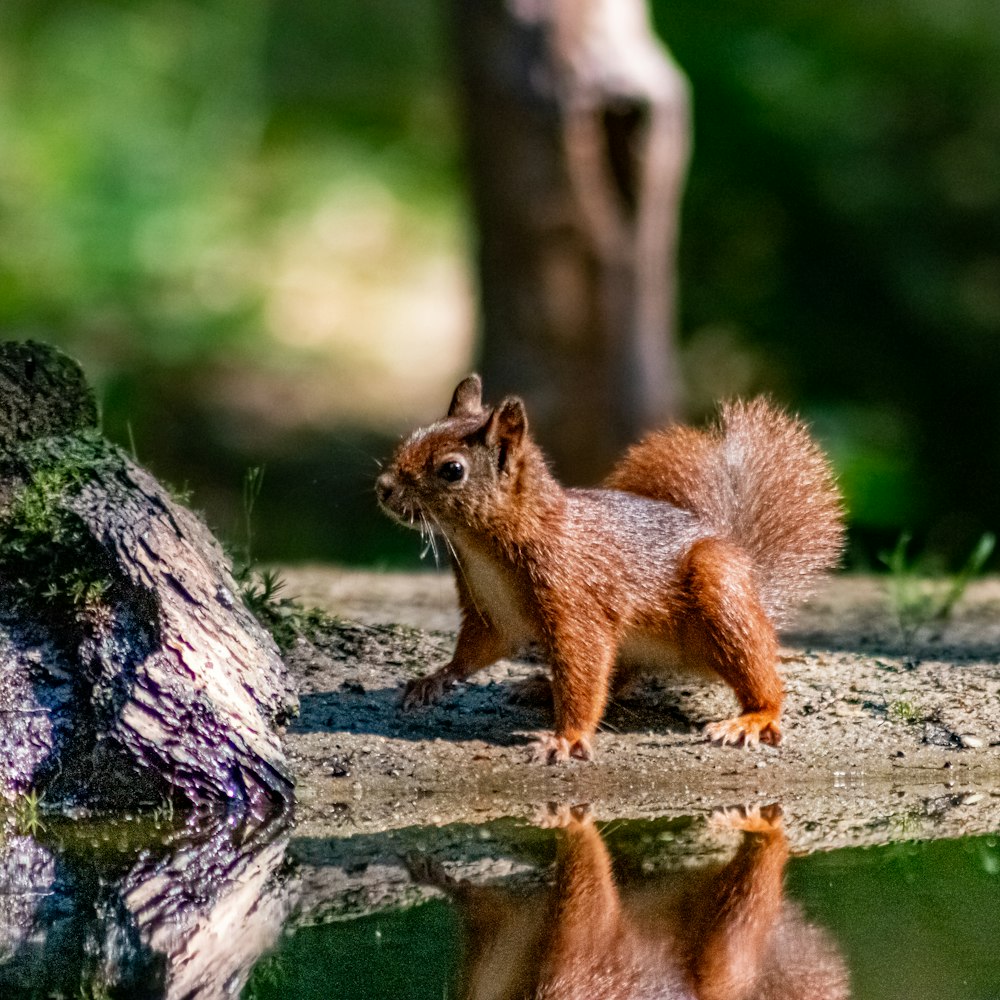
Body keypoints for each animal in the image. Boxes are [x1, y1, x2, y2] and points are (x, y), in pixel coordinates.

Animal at [376, 374, 844, 756]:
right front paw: (435, 678)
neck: (482, 548)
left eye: (452, 470)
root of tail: (750, 576)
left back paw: (753, 718)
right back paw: (542, 686)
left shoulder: (574, 598)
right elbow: (477, 650)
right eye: (411, 438)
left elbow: (583, 667)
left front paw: (568, 737)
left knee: (759, 673)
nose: (383, 488)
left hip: (720, 590)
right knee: (615, 679)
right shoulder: (490, 613)